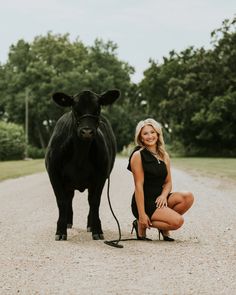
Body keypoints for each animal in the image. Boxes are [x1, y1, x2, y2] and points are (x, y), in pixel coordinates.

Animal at [45, 89, 120, 240]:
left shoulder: (101, 175)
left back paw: (90, 225)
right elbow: (61, 201)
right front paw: (60, 231)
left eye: (98, 109)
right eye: (75, 109)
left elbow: (95, 201)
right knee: (68, 199)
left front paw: (97, 230)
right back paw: (68, 222)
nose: (87, 131)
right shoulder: (54, 173)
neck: (80, 156)